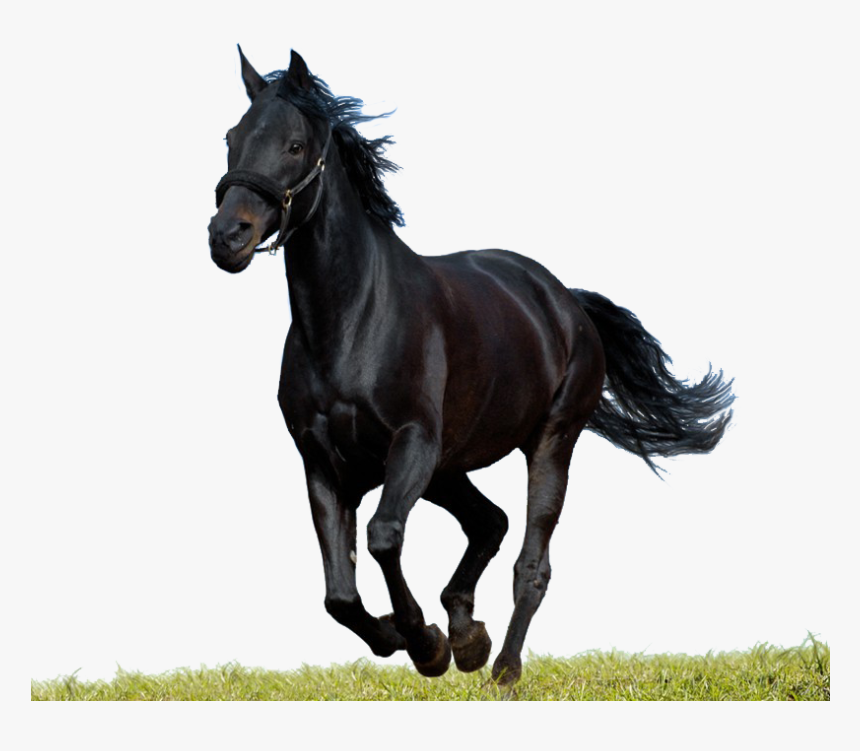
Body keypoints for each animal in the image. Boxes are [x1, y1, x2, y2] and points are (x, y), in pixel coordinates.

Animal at [208, 47, 734, 686]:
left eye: (293, 145)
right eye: (231, 138)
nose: (226, 236)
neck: (351, 321)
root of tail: (564, 300)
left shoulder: (412, 442)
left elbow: (383, 538)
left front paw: (425, 643)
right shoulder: (322, 463)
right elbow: (339, 595)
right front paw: (413, 636)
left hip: (548, 443)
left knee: (530, 562)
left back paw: (500, 668)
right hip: (449, 468)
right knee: (490, 523)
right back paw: (468, 634)